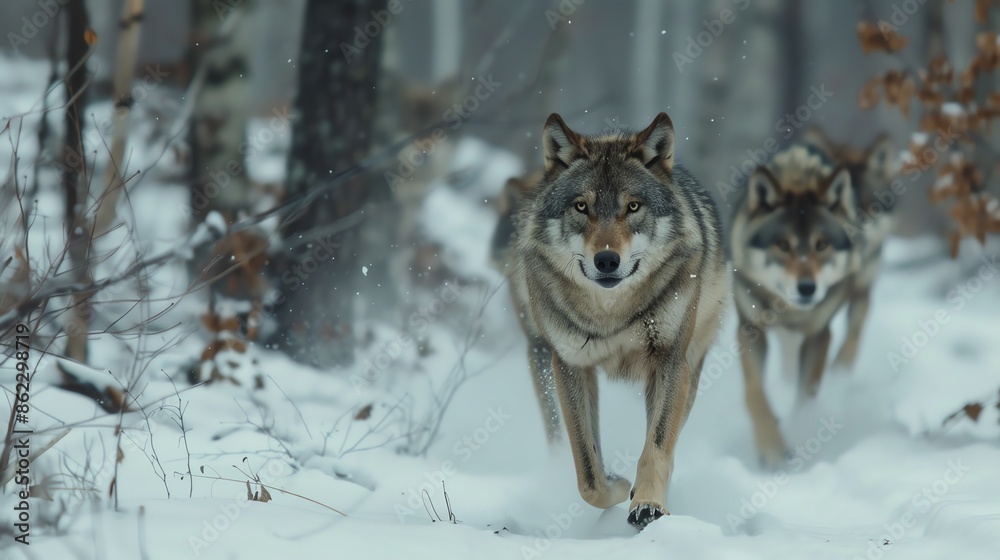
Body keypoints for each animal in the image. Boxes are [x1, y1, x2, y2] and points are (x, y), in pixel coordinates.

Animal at [508, 113, 728, 528]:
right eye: (581, 206)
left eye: (633, 206)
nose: (607, 260)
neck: (612, 313)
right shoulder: (568, 365)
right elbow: (588, 474)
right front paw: (618, 483)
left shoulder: (670, 362)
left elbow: (657, 445)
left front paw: (648, 503)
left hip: (689, 370)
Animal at [729, 145, 861, 468]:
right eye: (783, 245)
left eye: (821, 245)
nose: (807, 288)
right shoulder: (750, 330)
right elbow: (754, 393)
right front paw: (772, 451)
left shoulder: (819, 334)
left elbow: (806, 394)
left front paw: (802, 430)